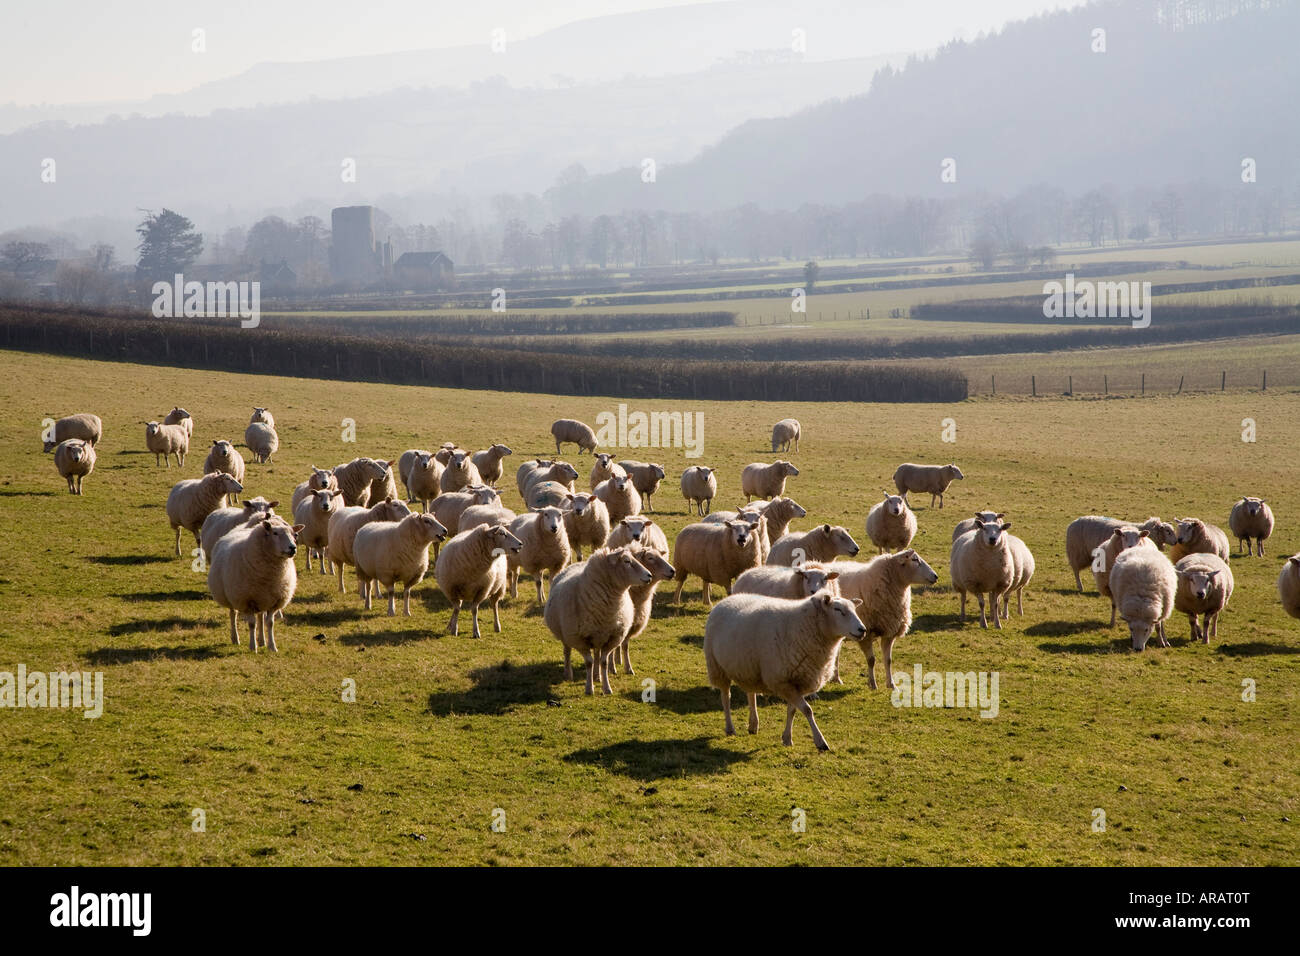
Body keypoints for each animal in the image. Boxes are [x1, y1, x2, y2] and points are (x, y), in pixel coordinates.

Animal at [207, 514, 302, 652]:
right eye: (275, 533)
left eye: (294, 534)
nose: (292, 548)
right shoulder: (247, 600)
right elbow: (252, 624)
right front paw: (253, 647)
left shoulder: (274, 601)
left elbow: (270, 623)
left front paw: (272, 646)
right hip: (231, 596)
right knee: (233, 614)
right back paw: (235, 638)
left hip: (262, 598)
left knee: (261, 617)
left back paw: (262, 641)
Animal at [543, 547, 652, 695]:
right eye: (626, 561)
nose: (649, 575)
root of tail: (578, 563)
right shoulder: (579, 639)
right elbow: (588, 662)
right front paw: (589, 689)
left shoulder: (612, 638)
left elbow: (603, 662)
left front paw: (607, 688)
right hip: (566, 634)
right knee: (567, 651)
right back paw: (568, 674)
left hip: (598, 635)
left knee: (596, 653)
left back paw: (597, 676)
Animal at [608, 546, 676, 676]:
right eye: (650, 558)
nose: (673, 571)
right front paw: (611, 668)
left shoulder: (632, 623)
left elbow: (625, 645)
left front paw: (628, 668)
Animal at [704, 592, 866, 750]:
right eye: (837, 609)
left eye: (855, 609)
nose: (862, 630)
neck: (804, 627)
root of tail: (728, 598)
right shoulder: (782, 681)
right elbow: (807, 710)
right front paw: (820, 741)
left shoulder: (796, 682)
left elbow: (792, 711)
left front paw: (787, 738)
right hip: (717, 667)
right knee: (726, 697)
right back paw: (730, 728)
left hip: (748, 668)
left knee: (751, 694)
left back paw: (753, 725)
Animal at [826, 549, 938, 690]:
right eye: (914, 560)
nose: (935, 576)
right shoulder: (866, 633)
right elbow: (871, 660)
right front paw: (873, 684)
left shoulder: (889, 631)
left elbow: (888, 660)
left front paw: (891, 684)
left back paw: (836, 678)